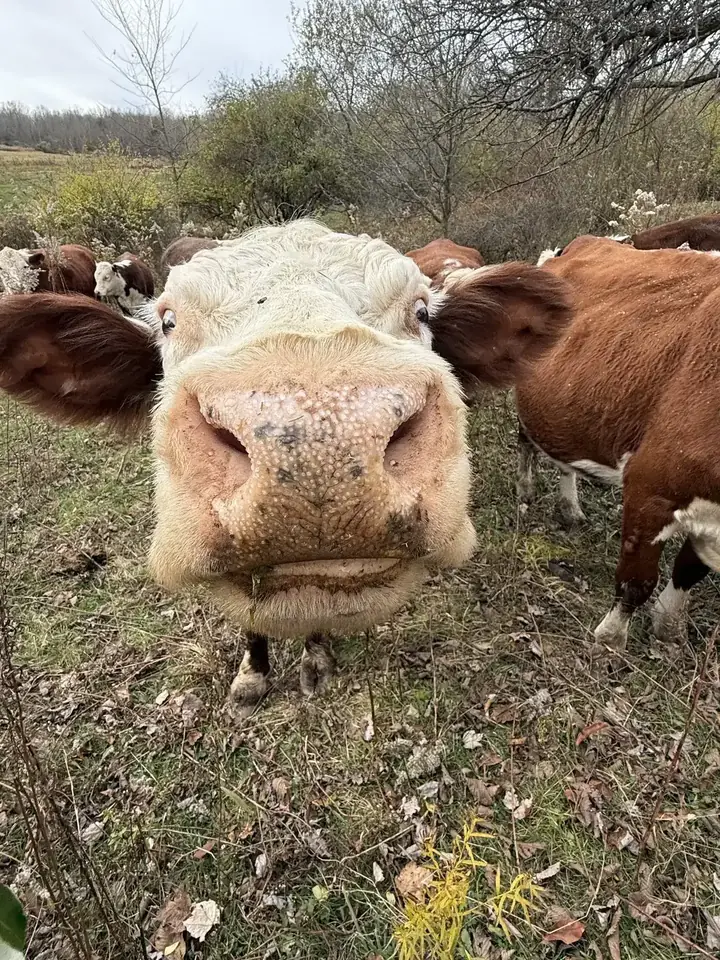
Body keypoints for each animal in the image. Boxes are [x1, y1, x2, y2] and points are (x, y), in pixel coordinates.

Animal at [517, 235, 720, 649]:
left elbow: (689, 569)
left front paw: (668, 628)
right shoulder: (651, 486)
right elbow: (636, 581)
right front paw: (610, 639)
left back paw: (570, 508)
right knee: (525, 438)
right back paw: (526, 489)